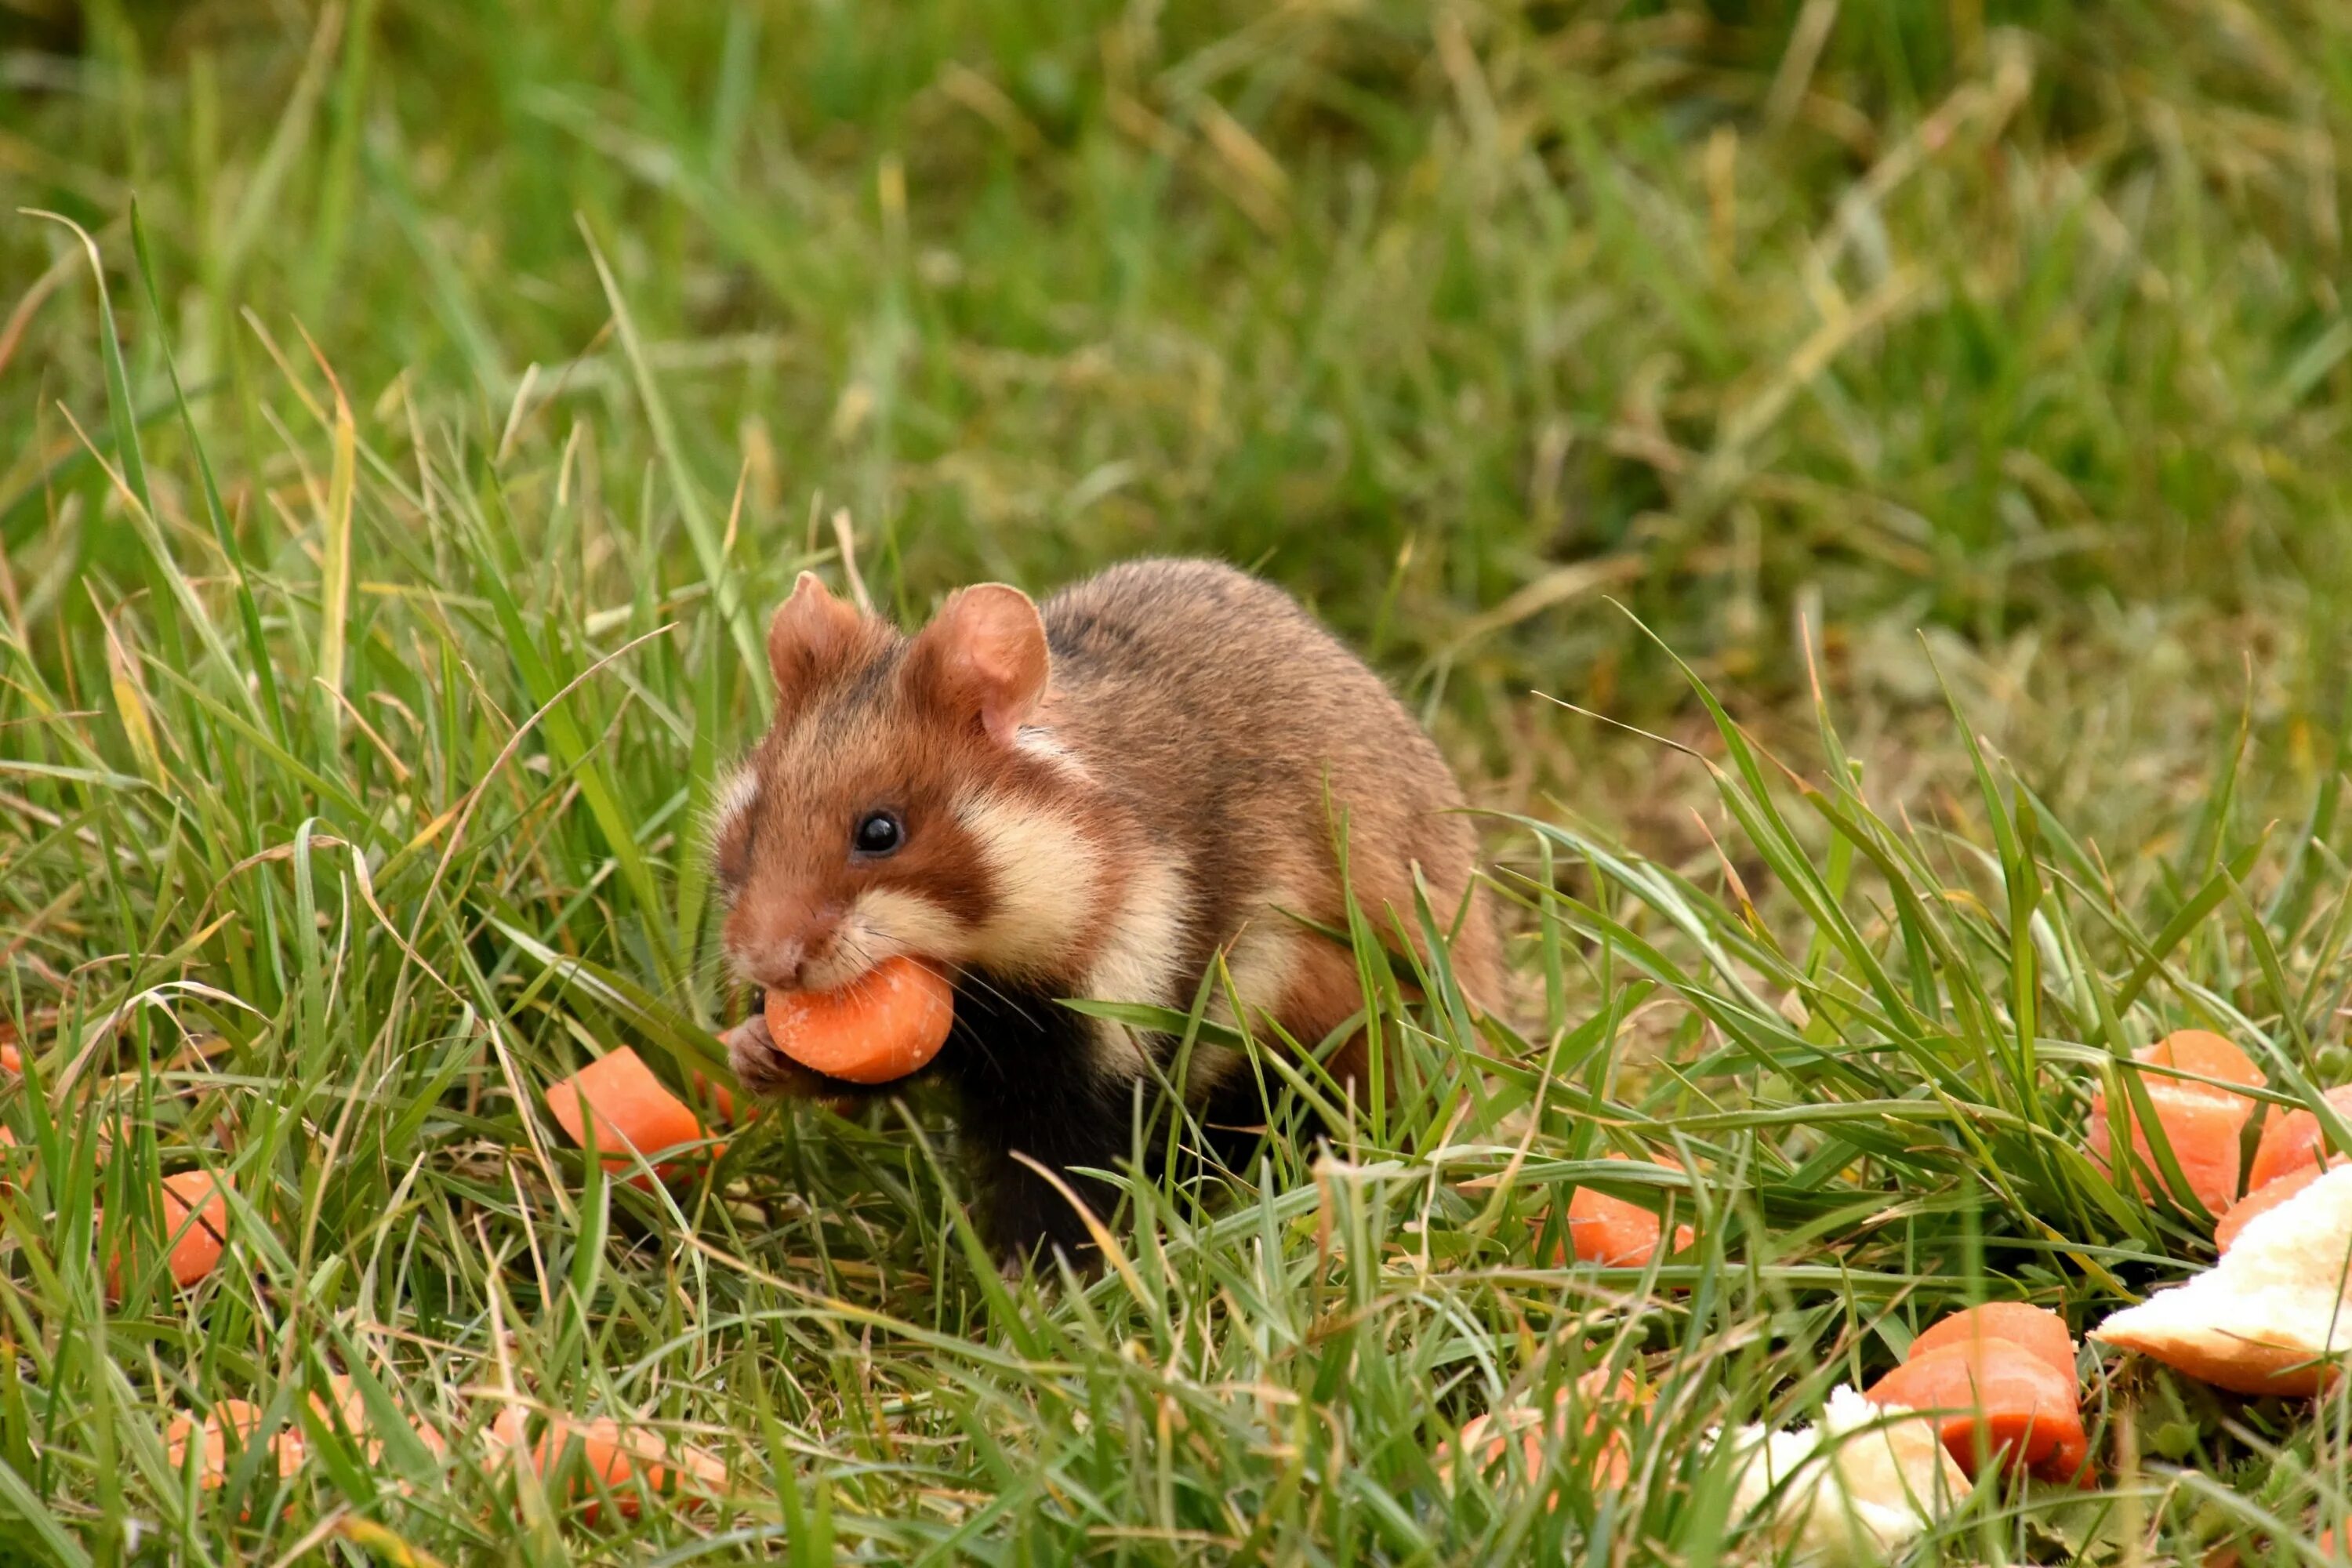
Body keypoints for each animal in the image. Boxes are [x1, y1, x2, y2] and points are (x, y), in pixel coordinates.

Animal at [706, 557, 1496, 1260]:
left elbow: (1063, 1190)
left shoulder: (1101, 1051)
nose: (765, 964)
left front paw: (1035, 1289)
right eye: (757, 813)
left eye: (880, 831)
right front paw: (752, 1050)